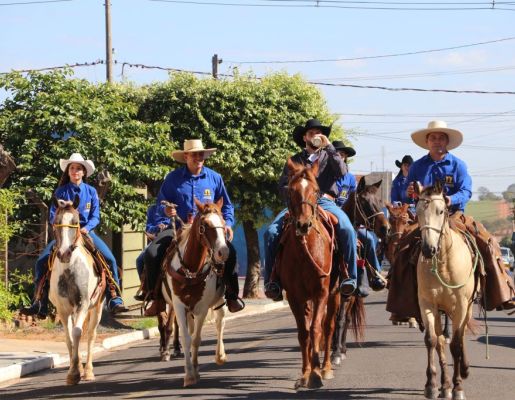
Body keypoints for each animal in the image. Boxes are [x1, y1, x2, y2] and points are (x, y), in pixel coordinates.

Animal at [48, 197, 105, 384]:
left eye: (76, 222)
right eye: (56, 222)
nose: (64, 253)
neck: (69, 269)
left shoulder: (83, 305)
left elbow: (78, 333)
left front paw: (75, 373)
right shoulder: (63, 309)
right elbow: (69, 338)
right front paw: (73, 370)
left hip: (97, 307)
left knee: (91, 334)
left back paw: (88, 371)